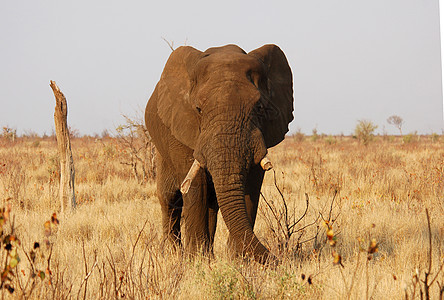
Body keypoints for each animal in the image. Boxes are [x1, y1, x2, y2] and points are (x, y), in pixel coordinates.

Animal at [144, 43, 294, 264]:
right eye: (198, 109)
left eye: (259, 108)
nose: (277, 259)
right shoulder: (182, 127)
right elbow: (195, 187)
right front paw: (196, 261)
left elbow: (252, 185)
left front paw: (238, 260)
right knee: (170, 198)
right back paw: (173, 254)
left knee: (212, 203)